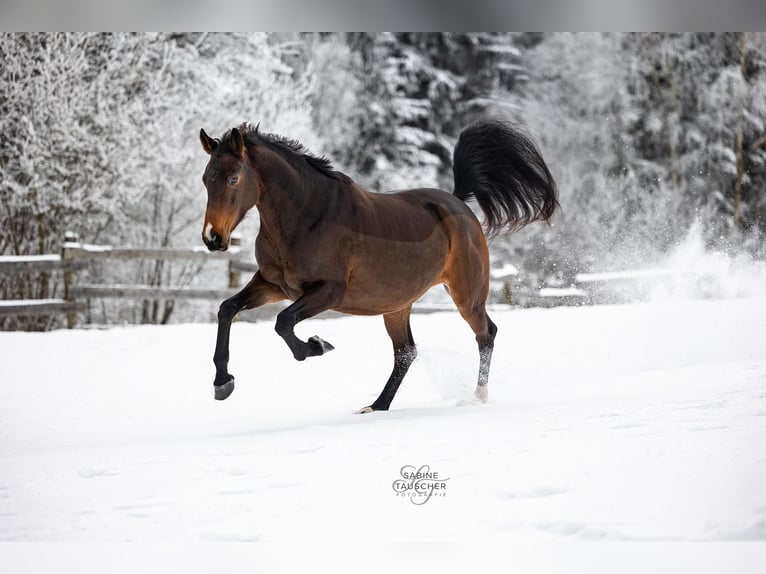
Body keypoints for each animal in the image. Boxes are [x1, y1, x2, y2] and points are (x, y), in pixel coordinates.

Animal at [198, 119, 560, 412]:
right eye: (205, 179)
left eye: (233, 178)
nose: (212, 238)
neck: (307, 216)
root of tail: (459, 204)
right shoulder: (273, 285)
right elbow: (227, 309)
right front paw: (222, 383)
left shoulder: (328, 292)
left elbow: (283, 323)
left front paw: (318, 345)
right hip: (397, 304)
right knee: (406, 352)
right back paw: (377, 406)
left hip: (466, 295)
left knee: (486, 334)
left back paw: (478, 396)